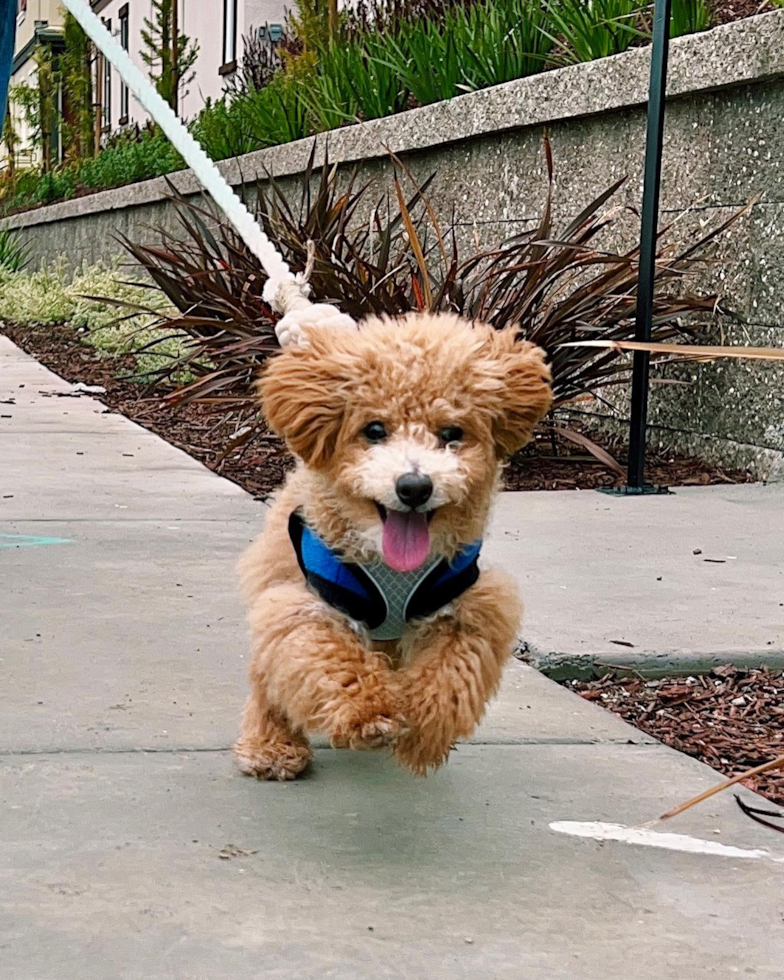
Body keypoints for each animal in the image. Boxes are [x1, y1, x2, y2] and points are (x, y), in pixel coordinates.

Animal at [233, 310, 552, 776]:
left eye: (451, 432)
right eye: (375, 430)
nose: (414, 486)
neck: (392, 566)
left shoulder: (468, 606)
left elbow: (451, 670)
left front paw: (422, 727)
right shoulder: (309, 604)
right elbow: (330, 657)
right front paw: (370, 713)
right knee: (269, 675)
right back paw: (271, 746)